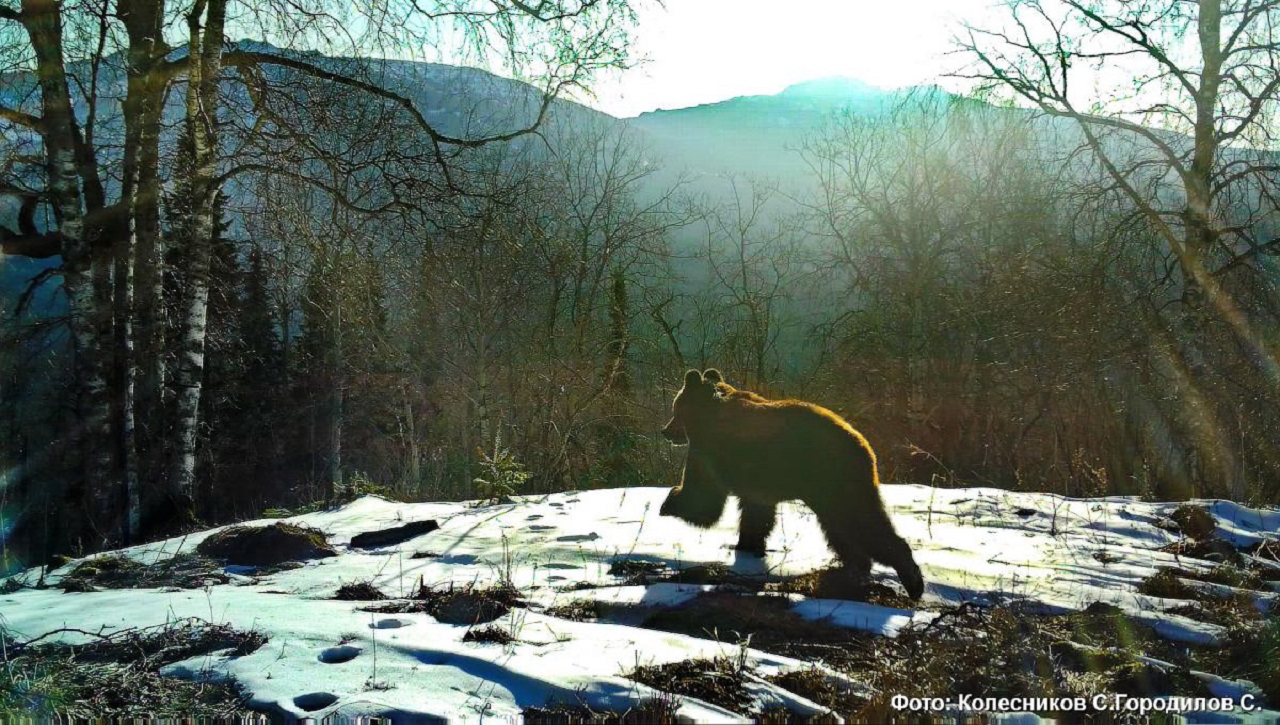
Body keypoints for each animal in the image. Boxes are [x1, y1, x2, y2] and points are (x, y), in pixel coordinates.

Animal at [660, 368, 921, 602]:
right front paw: (746, 545)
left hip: (836, 480)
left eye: (674, 409)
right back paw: (854, 566)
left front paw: (668, 502)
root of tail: (865, 446)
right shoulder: (755, 477)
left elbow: (705, 499)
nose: (666, 431)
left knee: (860, 522)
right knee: (845, 527)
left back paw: (911, 580)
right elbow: (756, 512)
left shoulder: (710, 447)